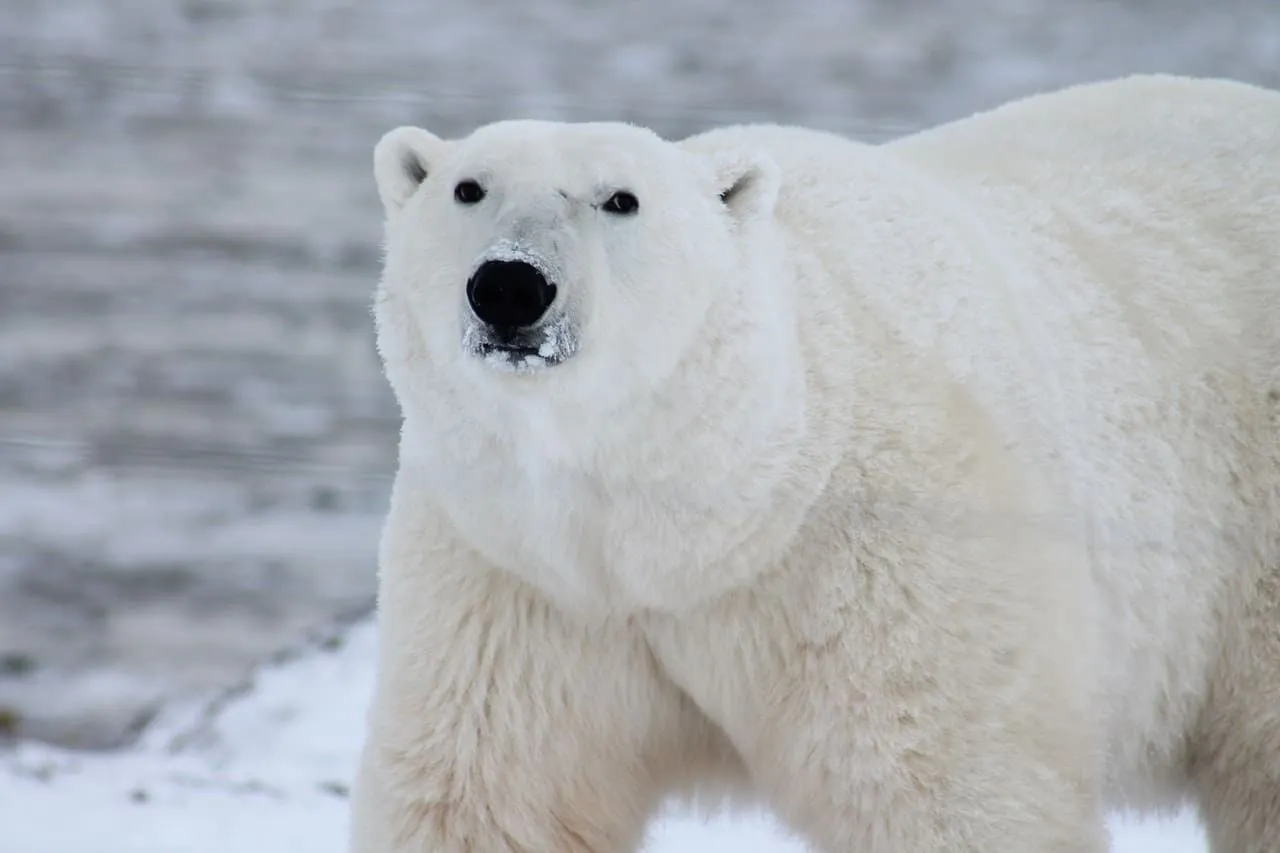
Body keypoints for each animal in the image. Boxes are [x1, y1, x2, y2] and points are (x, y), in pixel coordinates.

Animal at [350, 74, 1280, 850]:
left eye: (621, 199)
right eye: (468, 187)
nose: (510, 285)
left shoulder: (886, 561)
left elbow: (948, 789)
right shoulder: (519, 579)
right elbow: (492, 795)